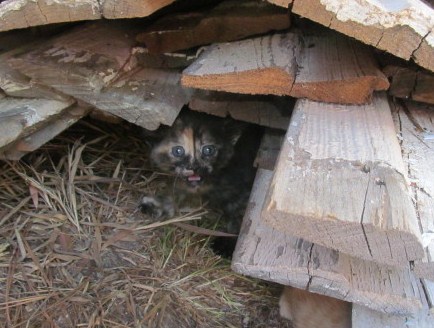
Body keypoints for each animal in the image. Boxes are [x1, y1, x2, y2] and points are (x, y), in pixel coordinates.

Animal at [140, 110, 262, 254]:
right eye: (178, 151)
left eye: (208, 150)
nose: (194, 167)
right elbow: (177, 191)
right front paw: (159, 204)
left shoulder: (243, 189)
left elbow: (242, 218)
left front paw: (230, 243)